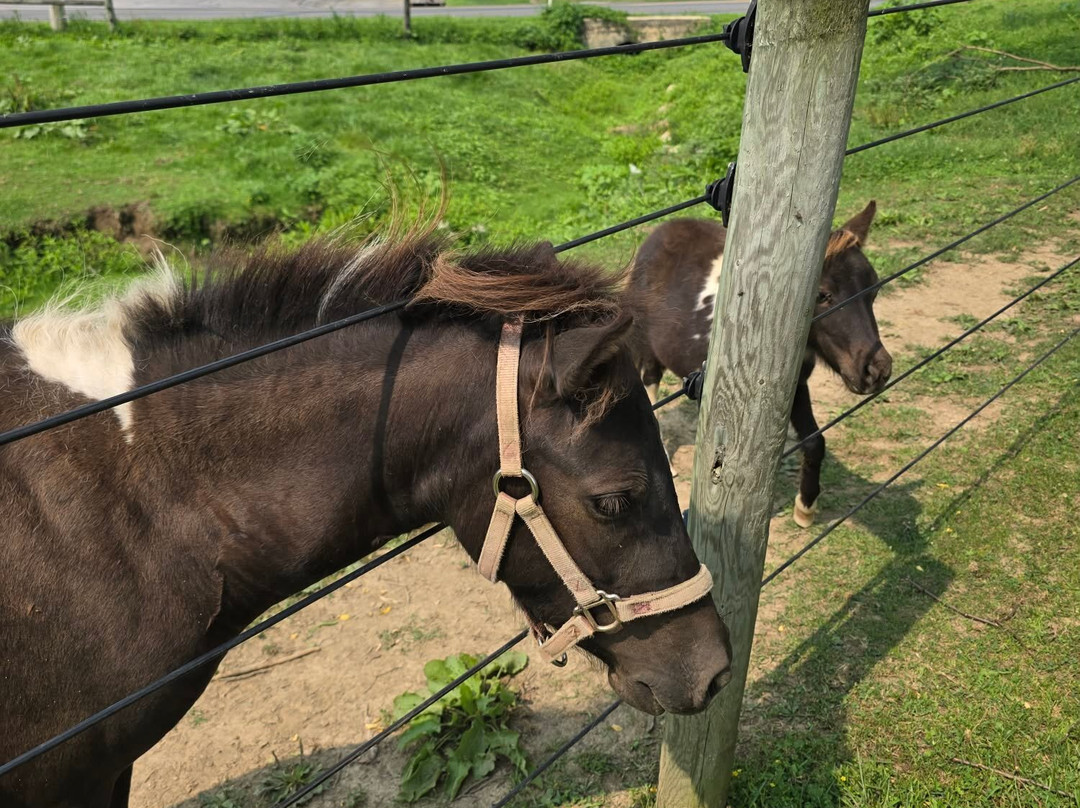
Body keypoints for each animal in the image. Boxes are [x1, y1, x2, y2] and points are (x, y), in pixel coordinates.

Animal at [630, 202, 893, 527]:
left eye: (875, 287)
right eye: (822, 294)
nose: (877, 370)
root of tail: (656, 234)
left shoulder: (797, 384)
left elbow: (814, 442)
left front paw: (805, 508)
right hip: (646, 348)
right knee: (649, 387)